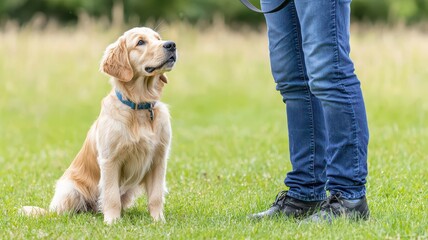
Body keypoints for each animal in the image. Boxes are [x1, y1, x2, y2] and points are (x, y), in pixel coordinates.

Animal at [19, 27, 177, 224]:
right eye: (140, 42)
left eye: (158, 38)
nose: (171, 45)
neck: (139, 105)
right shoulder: (110, 160)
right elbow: (111, 195)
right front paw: (112, 222)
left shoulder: (159, 158)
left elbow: (156, 196)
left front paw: (158, 221)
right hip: (70, 190)